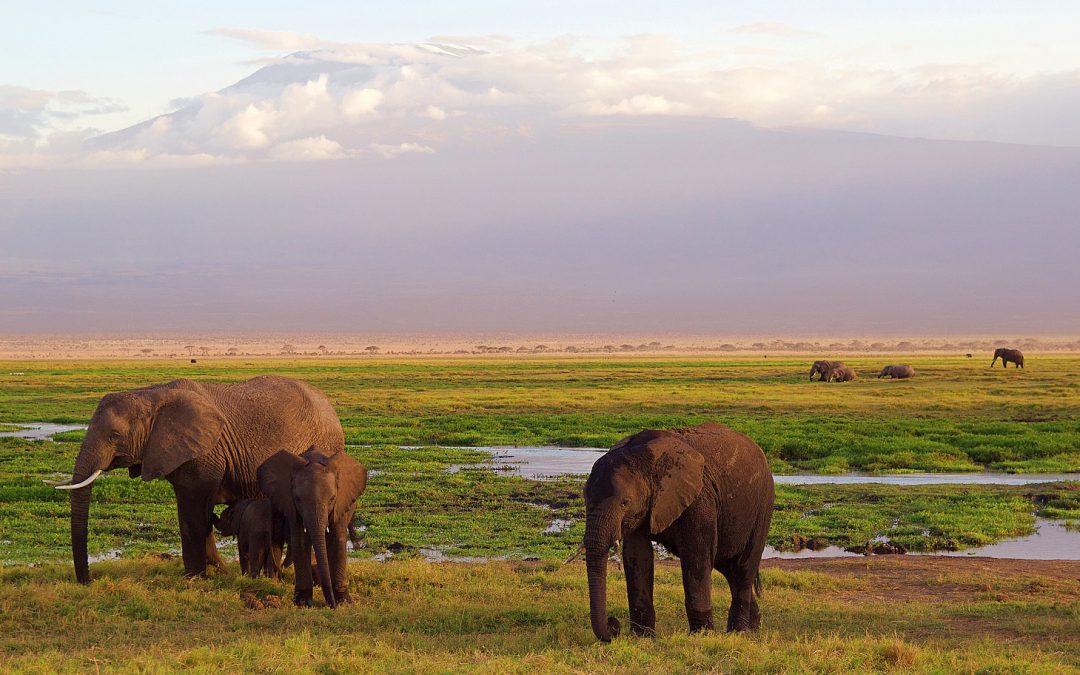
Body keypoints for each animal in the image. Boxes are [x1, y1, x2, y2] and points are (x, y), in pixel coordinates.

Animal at [50, 375, 345, 584]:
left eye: (114, 436)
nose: (87, 581)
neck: (151, 394)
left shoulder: (203, 453)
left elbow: (193, 512)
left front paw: (193, 579)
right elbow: (193, 513)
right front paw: (217, 572)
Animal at [258, 447, 367, 608]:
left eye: (332, 499)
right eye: (298, 500)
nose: (331, 606)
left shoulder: (340, 504)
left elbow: (337, 541)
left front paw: (344, 603)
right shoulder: (292, 506)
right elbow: (300, 541)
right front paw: (303, 602)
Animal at [582, 422, 774, 642]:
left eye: (624, 503)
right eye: (585, 497)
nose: (614, 625)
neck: (646, 458)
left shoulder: (700, 499)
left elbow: (696, 557)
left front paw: (702, 635)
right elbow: (638, 556)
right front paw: (643, 638)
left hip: (762, 506)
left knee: (743, 566)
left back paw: (739, 632)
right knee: (727, 566)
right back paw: (754, 627)